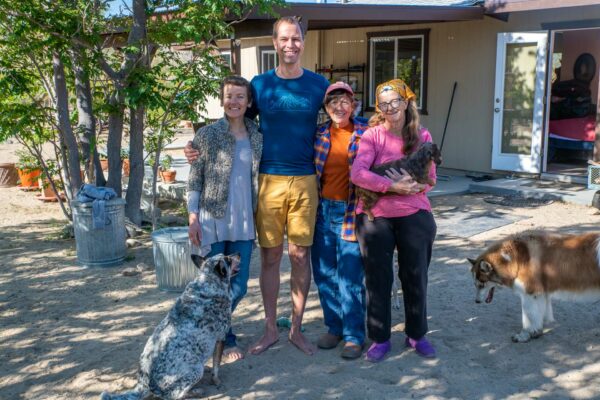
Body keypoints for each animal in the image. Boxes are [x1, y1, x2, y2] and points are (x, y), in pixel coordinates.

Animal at [100, 253, 239, 400]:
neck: (208, 282)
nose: (239, 254)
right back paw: (195, 391)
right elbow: (216, 366)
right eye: (228, 259)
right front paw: (216, 380)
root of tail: (143, 385)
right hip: (196, 371)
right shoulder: (221, 337)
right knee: (174, 395)